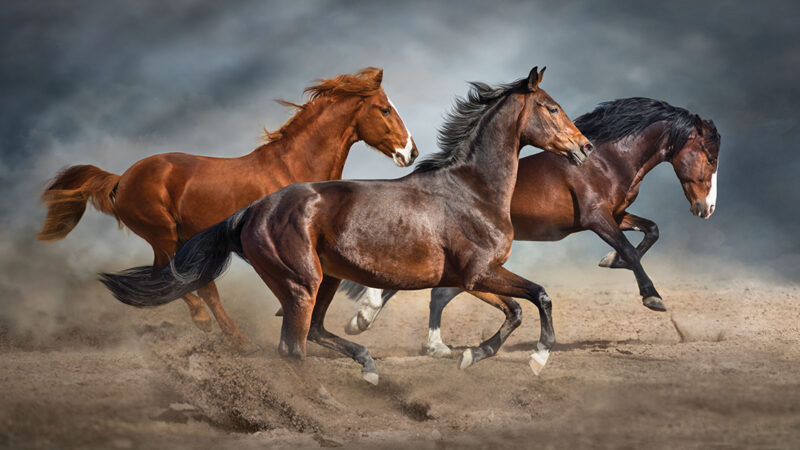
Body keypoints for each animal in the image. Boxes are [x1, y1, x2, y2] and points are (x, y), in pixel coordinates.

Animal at [37, 67, 417, 353]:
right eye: (385, 109)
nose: (410, 152)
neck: (294, 167)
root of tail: (122, 178)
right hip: (163, 234)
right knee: (179, 278)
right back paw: (219, 330)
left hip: (178, 238)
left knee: (183, 281)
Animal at [99, 66, 594, 384]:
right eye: (551, 107)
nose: (585, 147)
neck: (471, 189)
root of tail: (250, 211)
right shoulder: (480, 273)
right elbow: (539, 297)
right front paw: (538, 359)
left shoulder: (470, 278)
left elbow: (514, 311)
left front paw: (472, 355)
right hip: (302, 283)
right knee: (292, 346)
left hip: (328, 279)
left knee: (314, 332)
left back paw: (368, 366)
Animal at [340, 97, 721, 357]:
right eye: (710, 156)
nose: (707, 209)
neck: (607, 160)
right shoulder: (597, 218)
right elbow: (630, 249)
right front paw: (652, 297)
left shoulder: (617, 214)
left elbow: (651, 230)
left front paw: (609, 262)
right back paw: (367, 319)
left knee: (439, 293)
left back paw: (423, 340)